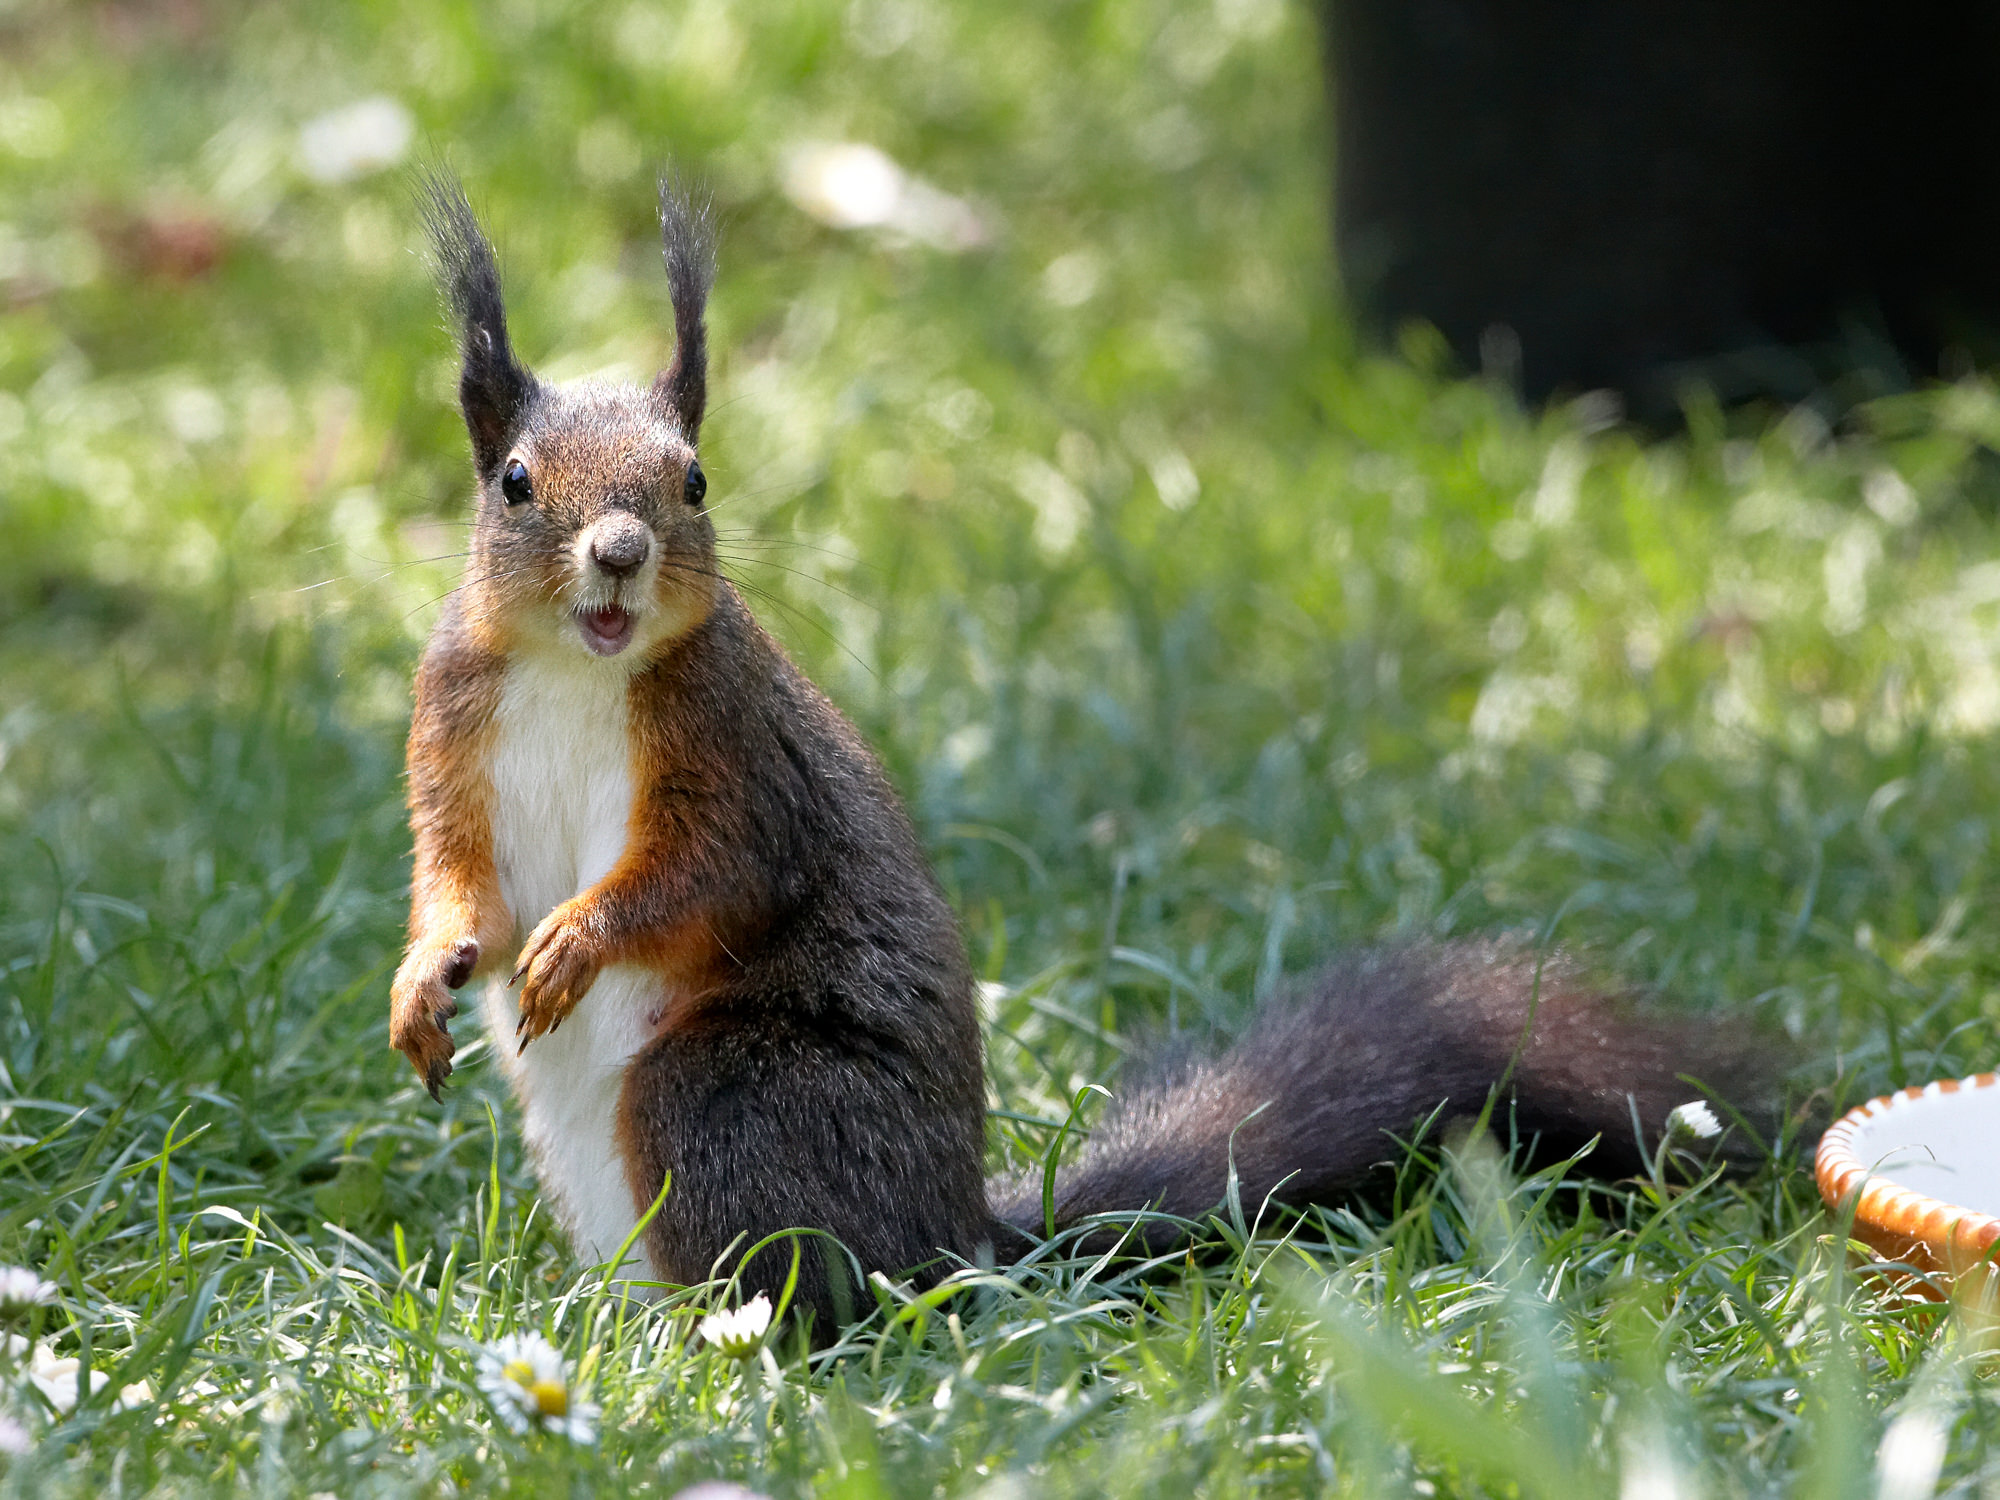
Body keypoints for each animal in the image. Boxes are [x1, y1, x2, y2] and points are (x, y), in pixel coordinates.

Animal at [390, 172, 1782, 1334]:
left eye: (692, 479)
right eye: (515, 483)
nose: (619, 552)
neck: (581, 665)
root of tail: (960, 1242)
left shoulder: (736, 753)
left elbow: (717, 872)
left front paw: (576, 940)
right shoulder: (448, 732)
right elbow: (462, 883)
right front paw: (428, 977)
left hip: (734, 1100)